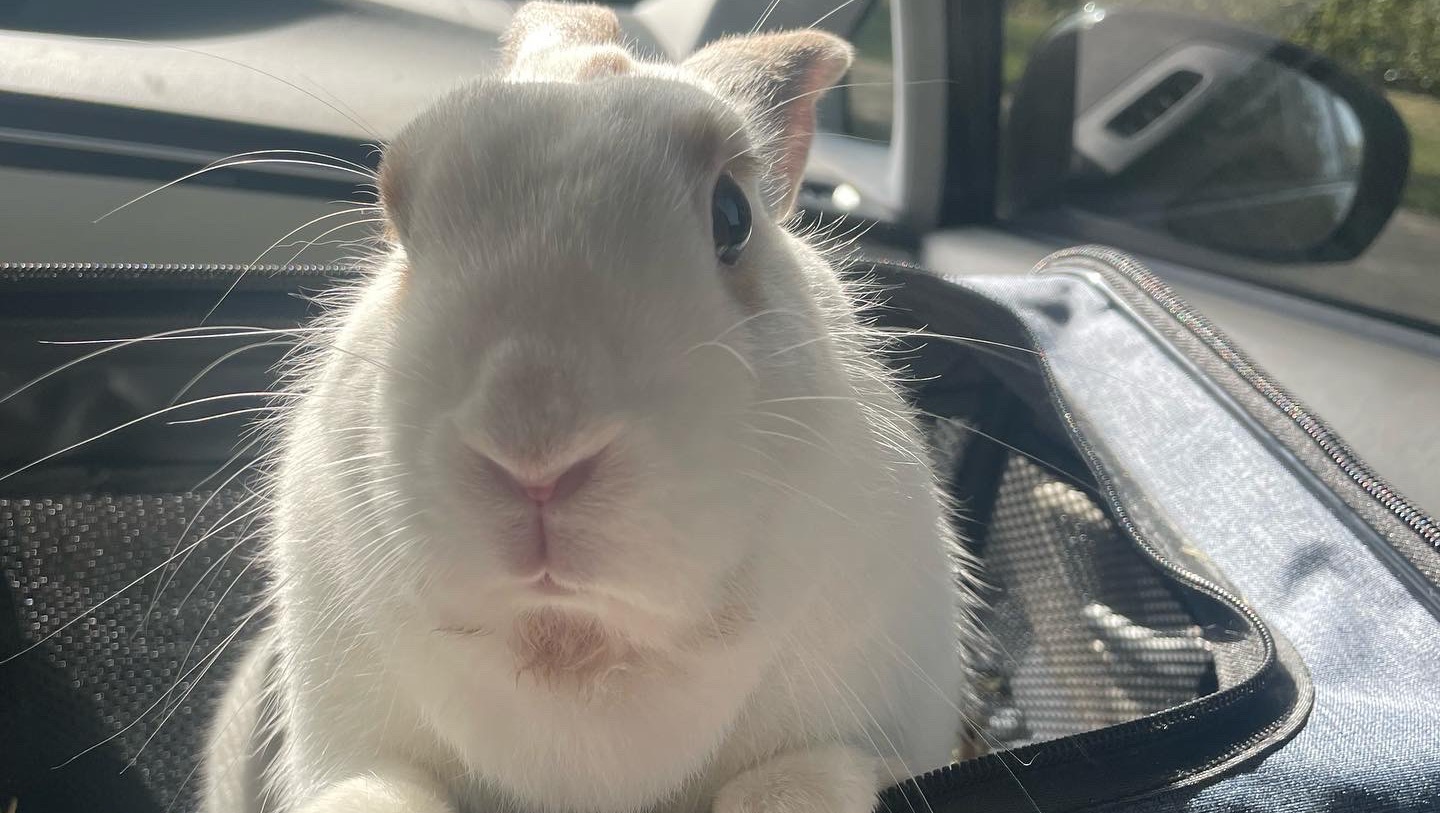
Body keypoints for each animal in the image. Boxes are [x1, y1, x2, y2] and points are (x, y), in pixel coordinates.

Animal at [201, 3, 977, 813]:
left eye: (732, 216)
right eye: (398, 229)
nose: (534, 454)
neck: (574, 640)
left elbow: (797, 775)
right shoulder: (353, 737)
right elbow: (376, 787)